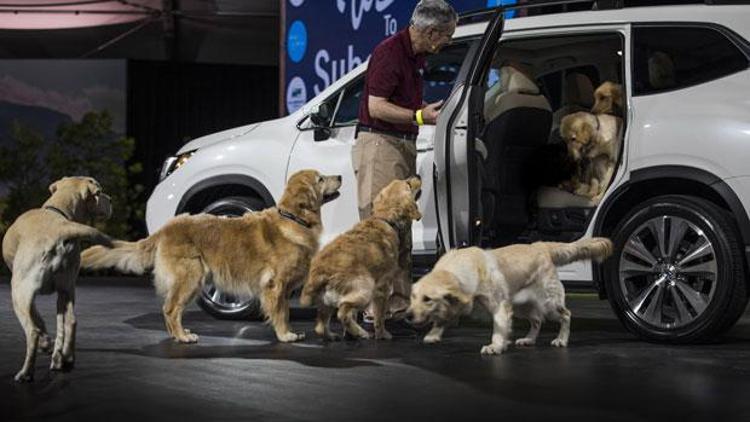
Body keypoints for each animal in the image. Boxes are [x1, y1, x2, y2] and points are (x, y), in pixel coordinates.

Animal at [1, 176, 112, 380]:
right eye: (99, 193)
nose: (110, 199)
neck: (59, 210)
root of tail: (60, 229)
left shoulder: (26, 292)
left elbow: (37, 318)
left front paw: (47, 343)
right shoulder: (64, 291)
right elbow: (59, 325)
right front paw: (56, 352)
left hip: (18, 292)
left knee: (32, 331)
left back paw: (26, 372)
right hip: (66, 290)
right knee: (71, 322)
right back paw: (64, 358)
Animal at [81, 170, 342, 344]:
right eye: (320, 178)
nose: (340, 176)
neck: (294, 218)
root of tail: (167, 228)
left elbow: (285, 311)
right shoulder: (275, 285)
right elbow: (280, 312)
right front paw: (285, 335)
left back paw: (179, 334)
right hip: (191, 277)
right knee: (170, 309)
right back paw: (182, 337)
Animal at [302, 177, 426, 340]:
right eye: (408, 184)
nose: (417, 176)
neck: (386, 219)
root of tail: (320, 273)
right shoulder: (382, 288)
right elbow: (379, 317)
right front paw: (382, 334)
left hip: (326, 303)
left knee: (321, 326)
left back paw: (336, 335)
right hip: (366, 288)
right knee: (342, 312)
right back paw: (360, 332)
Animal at [408, 239, 612, 354]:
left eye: (427, 299)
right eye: (413, 297)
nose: (408, 316)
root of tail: (540, 245)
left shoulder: (499, 306)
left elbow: (498, 328)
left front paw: (496, 346)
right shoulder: (462, 302)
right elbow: (444, 317)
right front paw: (434, 333)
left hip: (549, 303)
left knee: (566, 314)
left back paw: (561, 339)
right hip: (522, 305)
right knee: (537, 320)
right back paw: (529, 339)